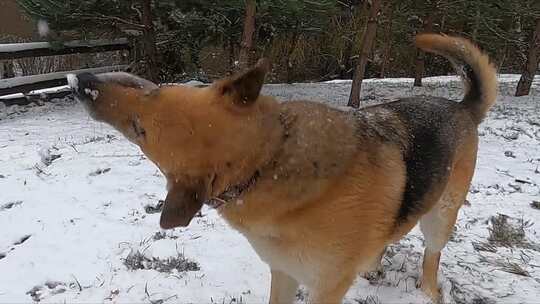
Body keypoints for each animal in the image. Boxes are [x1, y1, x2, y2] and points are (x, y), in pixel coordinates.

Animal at [67, 34, 498, 302]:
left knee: (431, 256)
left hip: (440, 218)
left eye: (139, 127)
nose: (81, 80)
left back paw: (427, 291)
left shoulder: (325, 289)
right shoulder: (285, 273)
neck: (268, 160)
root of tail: (462, 108)